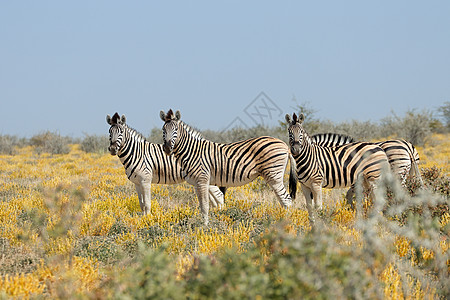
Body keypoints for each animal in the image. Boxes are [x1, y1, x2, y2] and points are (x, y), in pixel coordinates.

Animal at [160, 108, 298, 225]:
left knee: (286, 199)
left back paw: (287, 224)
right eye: (163, 130)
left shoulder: (202, 180)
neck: (192, 151)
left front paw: (205, 227)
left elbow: (205, 206)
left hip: (274, 175)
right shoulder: (197, 183)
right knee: (283, 200)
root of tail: (285, 146)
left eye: (176, 130)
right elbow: (204, 205)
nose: (167, 148)